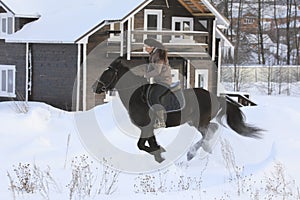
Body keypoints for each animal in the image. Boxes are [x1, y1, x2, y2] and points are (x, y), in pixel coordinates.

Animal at [92, 56, 262, 162]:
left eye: (108, 71)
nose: (95, 87)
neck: (136, 95)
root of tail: (216, 97)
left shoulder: (146, 127)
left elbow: (142, 145)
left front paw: (160, 155)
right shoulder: (148, 129)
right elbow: (150, 144)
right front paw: (160, 153)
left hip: (200, 121)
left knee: (209, 131)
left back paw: (192, 153)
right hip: (196, 121)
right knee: (212, 129)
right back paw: (204, 150)